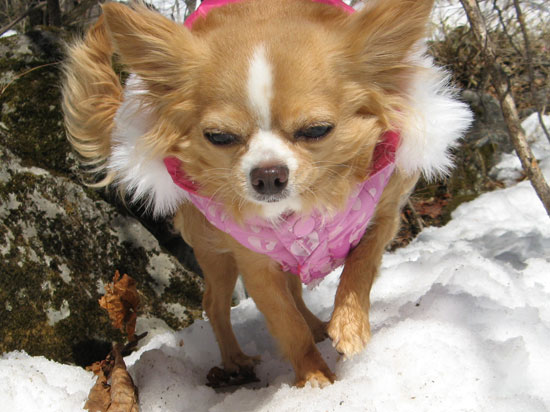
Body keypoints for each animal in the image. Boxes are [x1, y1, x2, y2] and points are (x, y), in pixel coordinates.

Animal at [62, 0, 472, 387]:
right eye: (220, 137)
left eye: (316, 130)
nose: (268, 175)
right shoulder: (255, 261)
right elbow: (286, 323)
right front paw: (316, 381)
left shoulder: (384, 213)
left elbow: (361, 264)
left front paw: (349, 325)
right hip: (214, 251)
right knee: (215, 303)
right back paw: (235, 360)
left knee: (294, 288)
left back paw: (319, 326)